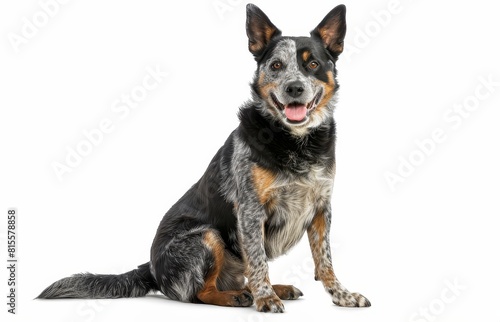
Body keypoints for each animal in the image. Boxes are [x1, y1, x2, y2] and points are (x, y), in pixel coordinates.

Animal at [39, 3, 372, 314]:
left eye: (313, 64)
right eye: (277, 65)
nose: (294, 88)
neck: (295, 141)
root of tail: (151, 267)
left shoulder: (321, 209)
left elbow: (325, 262)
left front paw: (342, 295)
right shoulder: (250, 211)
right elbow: (258, 261)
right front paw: (265, 298)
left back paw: (270, 289)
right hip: (206, 237)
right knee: (201, 292)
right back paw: (240, 296)